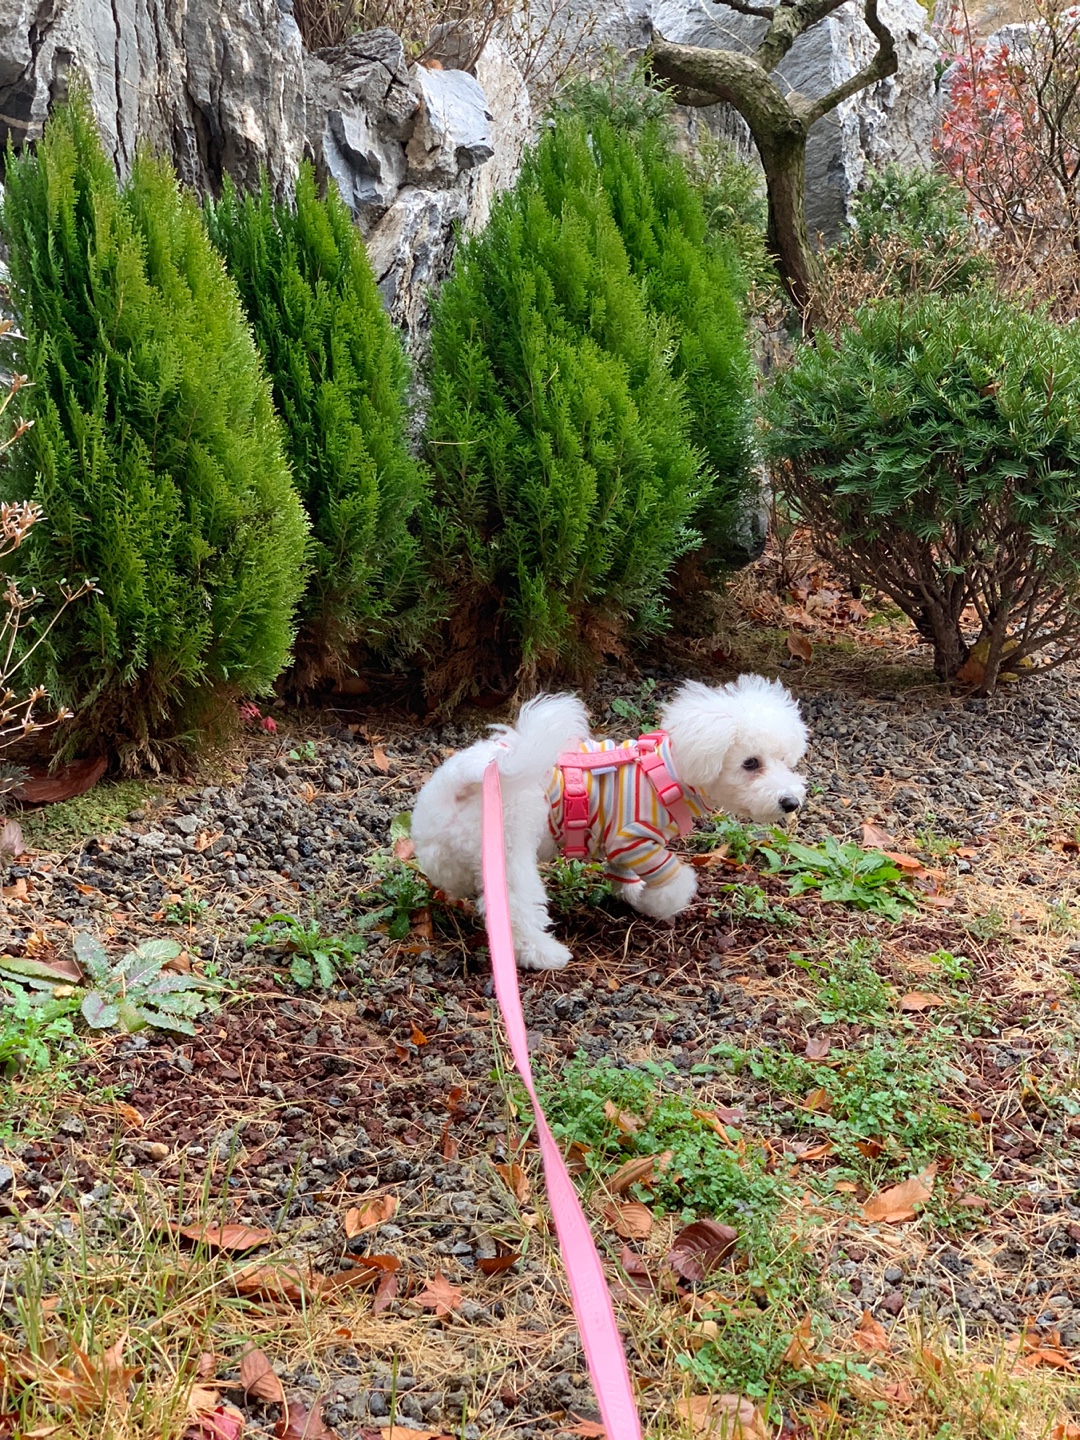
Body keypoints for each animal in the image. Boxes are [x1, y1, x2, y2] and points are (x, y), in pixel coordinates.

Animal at [408, 679, 806, 973]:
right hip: (510, 856)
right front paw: (658, 903)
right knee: (516, 912)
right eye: (750, 763)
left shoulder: (618, 840)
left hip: (451, 852)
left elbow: (622, 871)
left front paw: (630, 891)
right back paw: (544, 955)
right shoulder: (636, 839)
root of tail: (467, 780)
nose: (791, 802)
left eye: (784, 760)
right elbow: (673, 880)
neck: (668, 770)